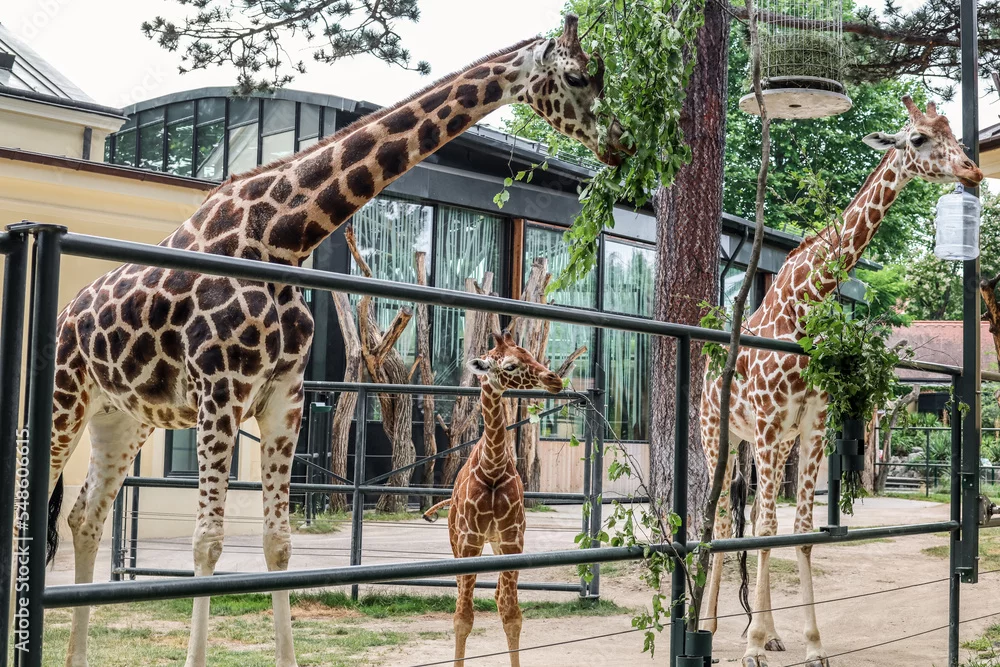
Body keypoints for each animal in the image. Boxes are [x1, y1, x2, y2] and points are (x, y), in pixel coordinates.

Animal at [422, 331, 563, 667]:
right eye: (510, 365)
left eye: (530, 355)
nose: (554, 380)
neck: (493, 468)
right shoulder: (469, 541)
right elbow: (462, 617)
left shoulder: (513, 539)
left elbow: (511, 615)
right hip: (456, 541)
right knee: (462, 594)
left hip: (497, 543)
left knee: (500, 596)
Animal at [698, 96, 983, 667]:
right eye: (918, 138)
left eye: (956, 136)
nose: (973, 170)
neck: (803, 308)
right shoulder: (767, 424)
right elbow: (766, 528)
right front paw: (752, 649)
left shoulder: (809, 427)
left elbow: (801, 532)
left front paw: (808, 645)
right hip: (717, 435)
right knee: (719, 519)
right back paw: (711, 628)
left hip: (768, 443)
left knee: (747, 518)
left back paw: (766, 632)